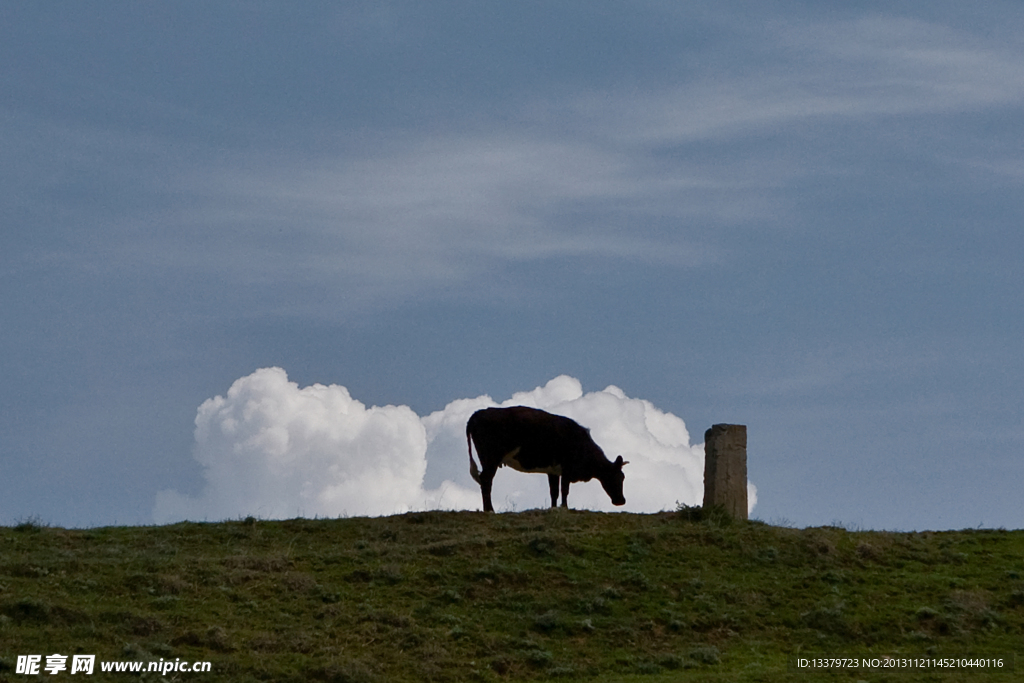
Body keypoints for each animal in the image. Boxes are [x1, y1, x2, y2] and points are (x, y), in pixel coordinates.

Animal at [464, 405, 622, 511]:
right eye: (616, 477)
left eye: (622, 477)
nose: (621, 500)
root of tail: (477, 413)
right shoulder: (567, 468)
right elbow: (564, 490)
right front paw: (565, 508)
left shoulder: (553, 471)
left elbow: (554, 492)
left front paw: (554, 508)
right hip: (490, 459)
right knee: (486, 480)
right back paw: (489, 510)